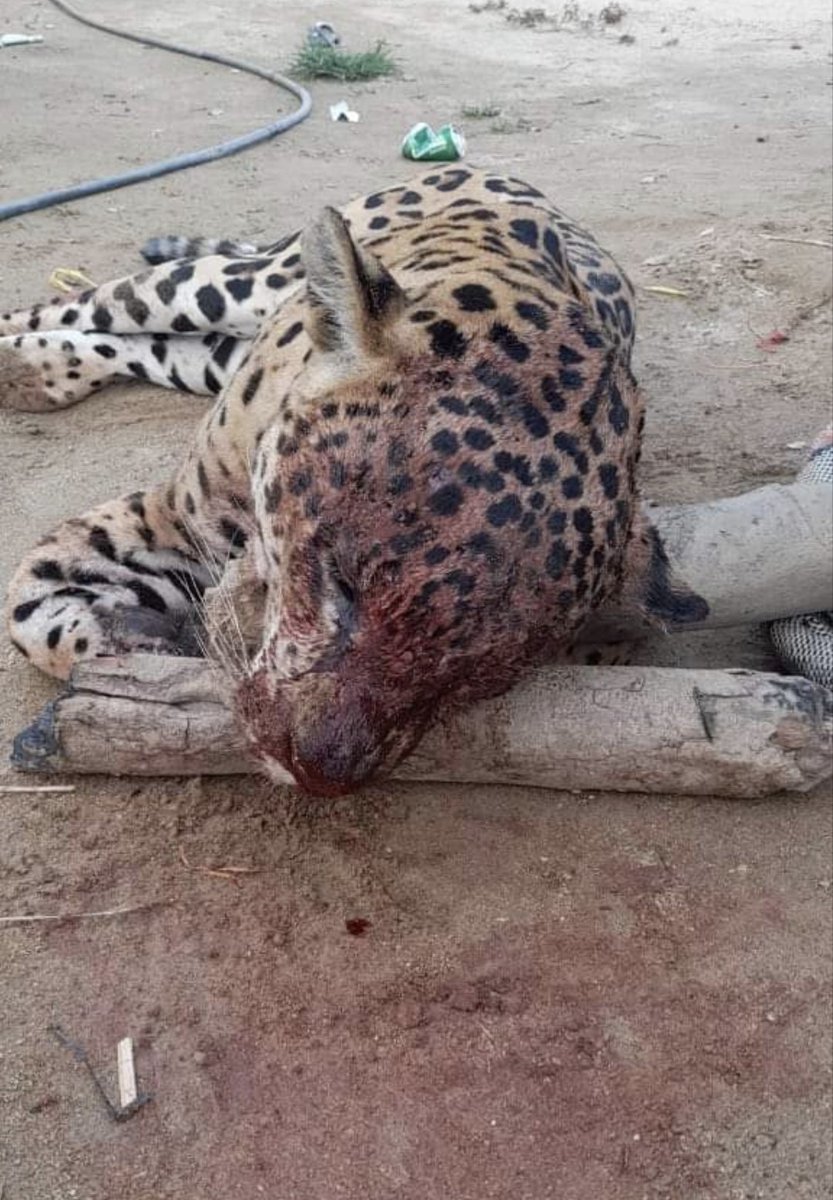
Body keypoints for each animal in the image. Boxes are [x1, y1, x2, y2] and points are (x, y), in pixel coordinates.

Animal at [1, 165, 706, 796]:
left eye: (481, 672)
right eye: (339, 582)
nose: (318, 775)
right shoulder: (175, 517)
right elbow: (27, 608)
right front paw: (139, 644)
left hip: (216, 350)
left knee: (157, 347)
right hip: (230, 282)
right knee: (101, 304)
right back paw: (21, 359)